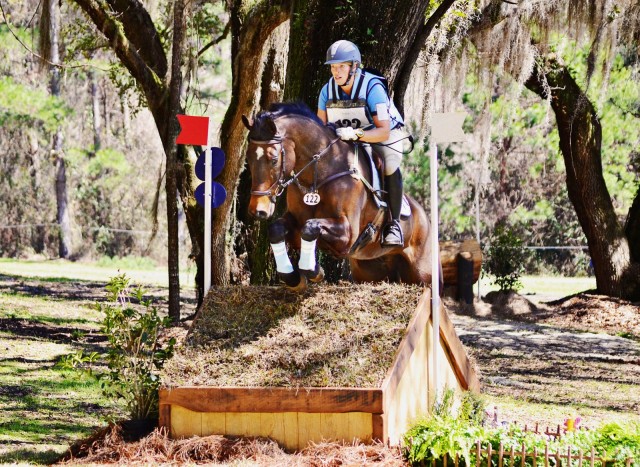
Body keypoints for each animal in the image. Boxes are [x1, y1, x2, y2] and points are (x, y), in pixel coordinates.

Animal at [242, 103, 438, 292]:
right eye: (248, 159)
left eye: (274, 159)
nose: (257, 210)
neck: (320, 174)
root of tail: (424, 216)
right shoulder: (295, 219)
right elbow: (278, 229)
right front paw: (293, 276)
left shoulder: (348, 235)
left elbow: (310, 227)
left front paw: (314, 271)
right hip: (369, 271)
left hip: (424, 272)